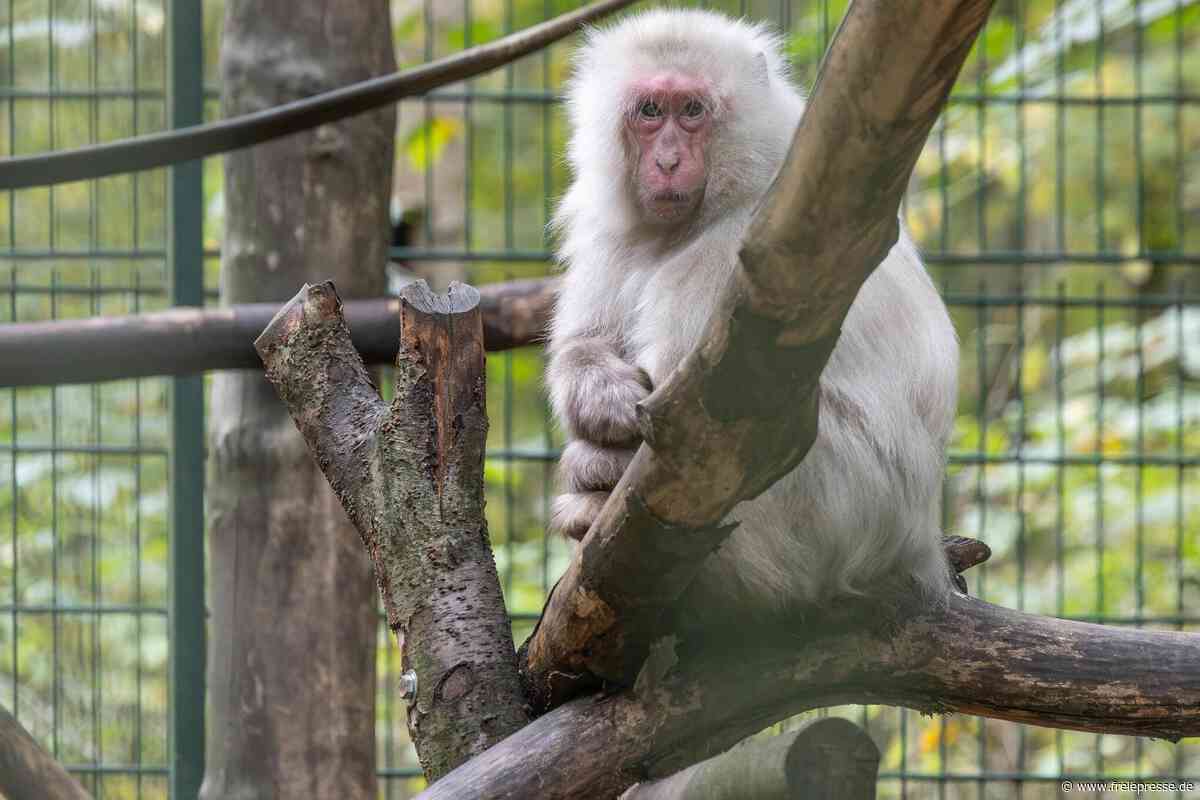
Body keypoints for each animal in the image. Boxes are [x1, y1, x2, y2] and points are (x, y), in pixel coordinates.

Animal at [545, 9, 960, 628]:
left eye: (693, 111)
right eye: (651, 111)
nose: (668, 162)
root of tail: (918, 547)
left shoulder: (730, 256)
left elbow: (702, 435)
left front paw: (603, 472)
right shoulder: (607, 235)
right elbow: (584, 342)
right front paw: (600, 405)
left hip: (826, 515)